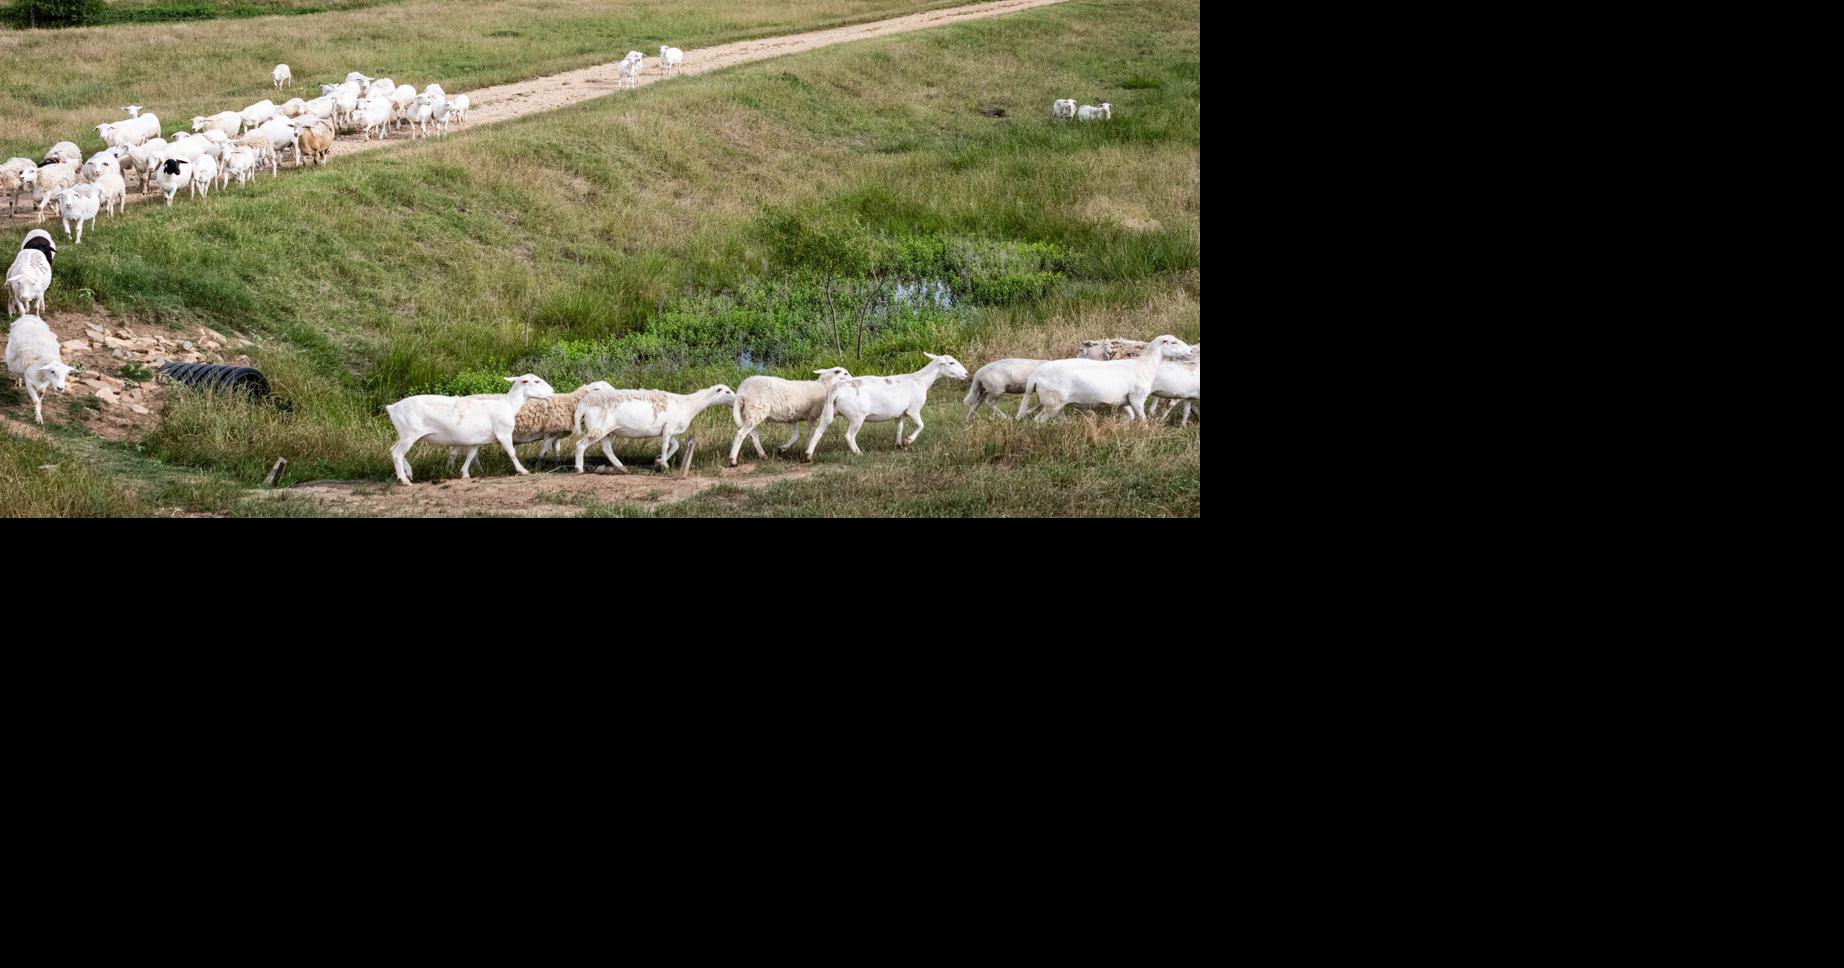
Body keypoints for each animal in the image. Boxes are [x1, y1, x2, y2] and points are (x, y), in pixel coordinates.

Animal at [386, 374, 556, 485]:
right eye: (536, 381)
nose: (553, 392)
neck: (508, 404)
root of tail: (392, 407)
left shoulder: (477, 439)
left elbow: (471, 455)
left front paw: (465, 473)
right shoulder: (504, 433)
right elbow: (512, 453)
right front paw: (522, 470)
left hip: (404, 434)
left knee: (393, 450)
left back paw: (408, 473)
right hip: (409, 434)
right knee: (397, 454)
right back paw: (404, 480)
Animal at [573, 384, 737, 474]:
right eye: (727, 392)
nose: (737, 400)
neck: (689, 404)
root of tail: (583, 405)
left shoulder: (668, 430)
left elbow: (675, 446)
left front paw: (659, 461)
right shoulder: (669, 427)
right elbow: (665, 446)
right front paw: (664, 464)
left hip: (606, 431)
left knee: (607, 449)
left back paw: (622, 468)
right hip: (598, 429)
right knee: (580, 445)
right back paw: (579, 469)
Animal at [804, 353, 970, 460]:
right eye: (951, 363)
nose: (967, 374)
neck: (921, 380)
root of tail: (837, 389)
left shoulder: (900, 413)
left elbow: (899, 428)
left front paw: (899, 444)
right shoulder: (913, 410)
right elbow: (921, 425)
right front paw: (908, 441)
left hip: (829, 412)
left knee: (818, 432)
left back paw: (808, 455)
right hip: (857, 416)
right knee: (849, 436)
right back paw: (858, 453)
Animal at [1018, 334, 1190, 422]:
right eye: (1173, 342)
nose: (1189, 351)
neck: (1144, 364)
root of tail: (1036, 374)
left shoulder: (1122, 401)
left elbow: (1130, 416)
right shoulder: (1137, 398)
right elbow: (1142, 419)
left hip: (1054, 404)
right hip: (1052, 403)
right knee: (1038, 421)